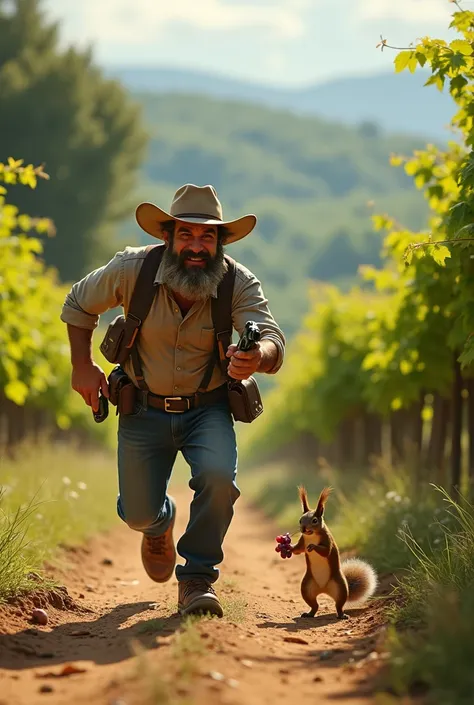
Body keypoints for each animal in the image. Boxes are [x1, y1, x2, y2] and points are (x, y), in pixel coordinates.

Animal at [288, 486, 378, 620]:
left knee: (338, 605)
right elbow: (298, 550)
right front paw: (288, 547)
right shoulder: (302, 540)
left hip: (340, 588)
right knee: (314, 605)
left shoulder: (327, 539)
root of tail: (323, 589)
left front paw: (312, 546)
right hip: (307, 588)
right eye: (300, 520)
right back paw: (309, 614)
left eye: (314, 520)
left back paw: (341, 615)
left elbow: (326, 551)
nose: (303, 529)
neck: (312, 535)